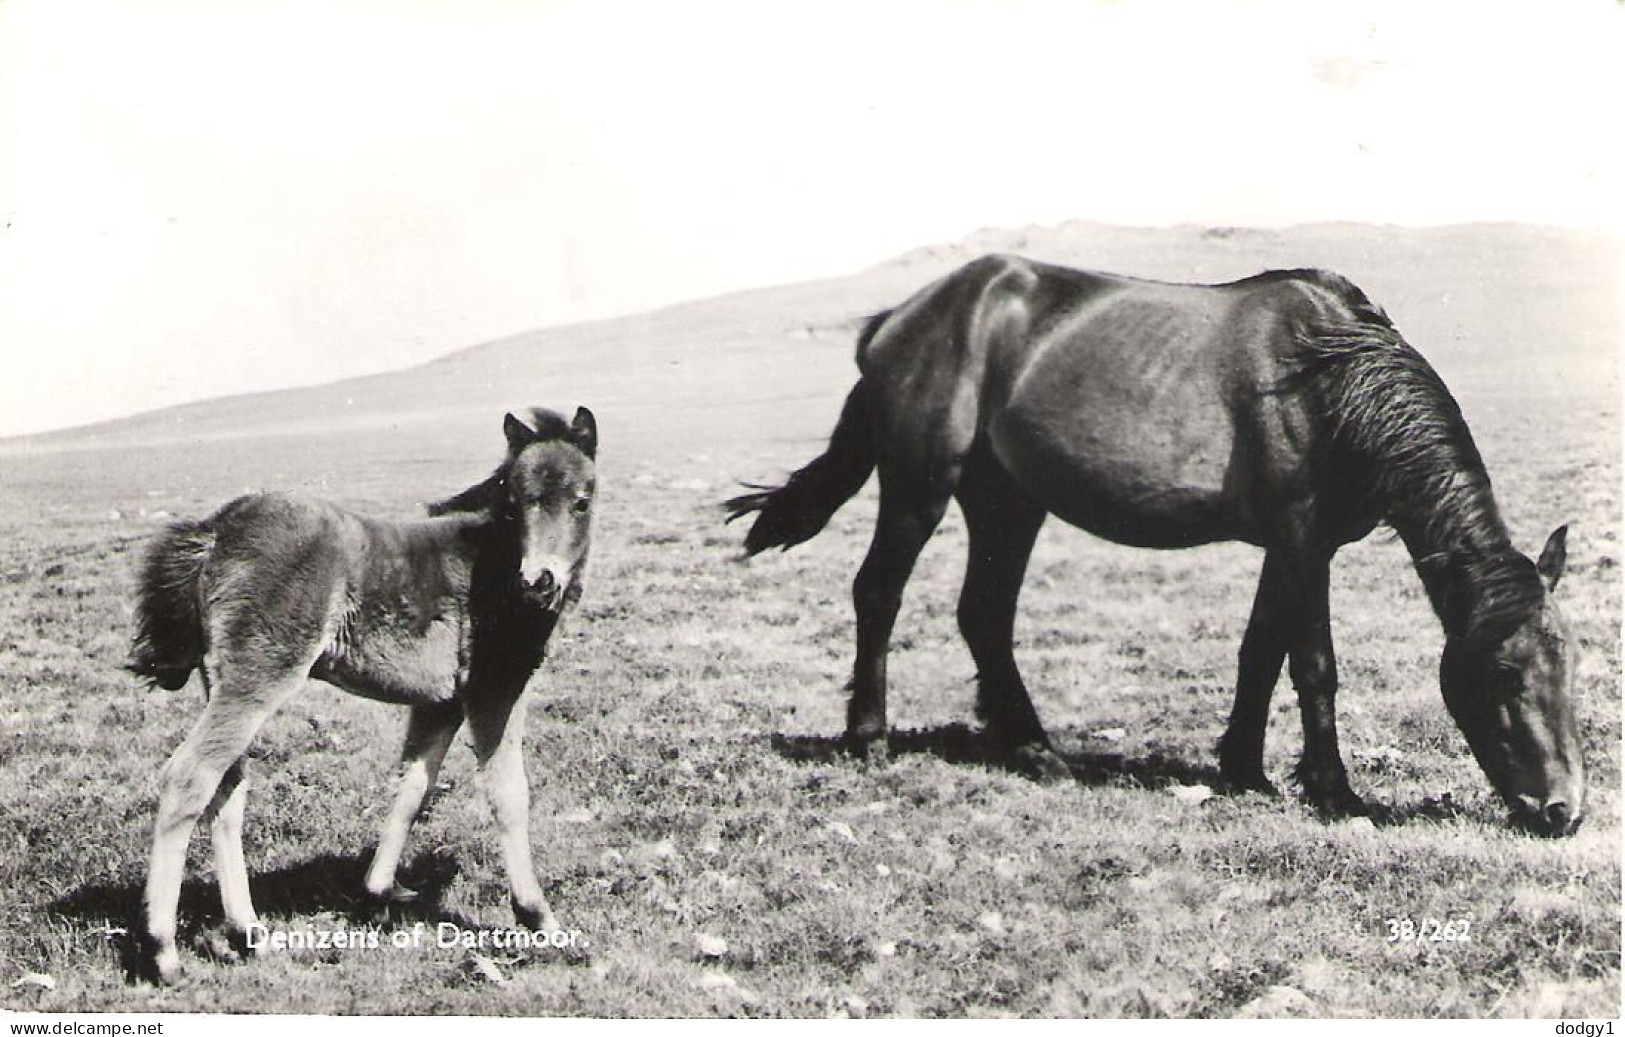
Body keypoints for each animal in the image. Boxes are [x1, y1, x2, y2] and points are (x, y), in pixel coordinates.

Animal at [128, 406, 598, 981]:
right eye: (516, 503)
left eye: (582, 501)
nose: (539, 582)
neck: (490, 566)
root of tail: (215, 532)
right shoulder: (494, 692)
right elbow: (508, 795)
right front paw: (539, 917)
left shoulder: (439, 703)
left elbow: (412, 787)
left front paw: (378, 894)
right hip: (258, 678)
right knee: (189, 778)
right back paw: (162, 952)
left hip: (224, 682)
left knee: (227, 788)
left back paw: (249, 933)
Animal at [728, 256, 1586, 838]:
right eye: (1504, 673)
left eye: (1571, 666)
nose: (1562, 810)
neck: (1326, 379)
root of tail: (895, 320)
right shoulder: (1304, 542)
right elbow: (1313, 664)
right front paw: (1334, 791)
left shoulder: (1288, 547)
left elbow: (1259, 650)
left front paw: (1244, 769)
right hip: (919, 486)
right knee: (879, 592)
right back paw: (868, 737)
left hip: (1008, 503)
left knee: (984, 615)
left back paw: (1034, 749)